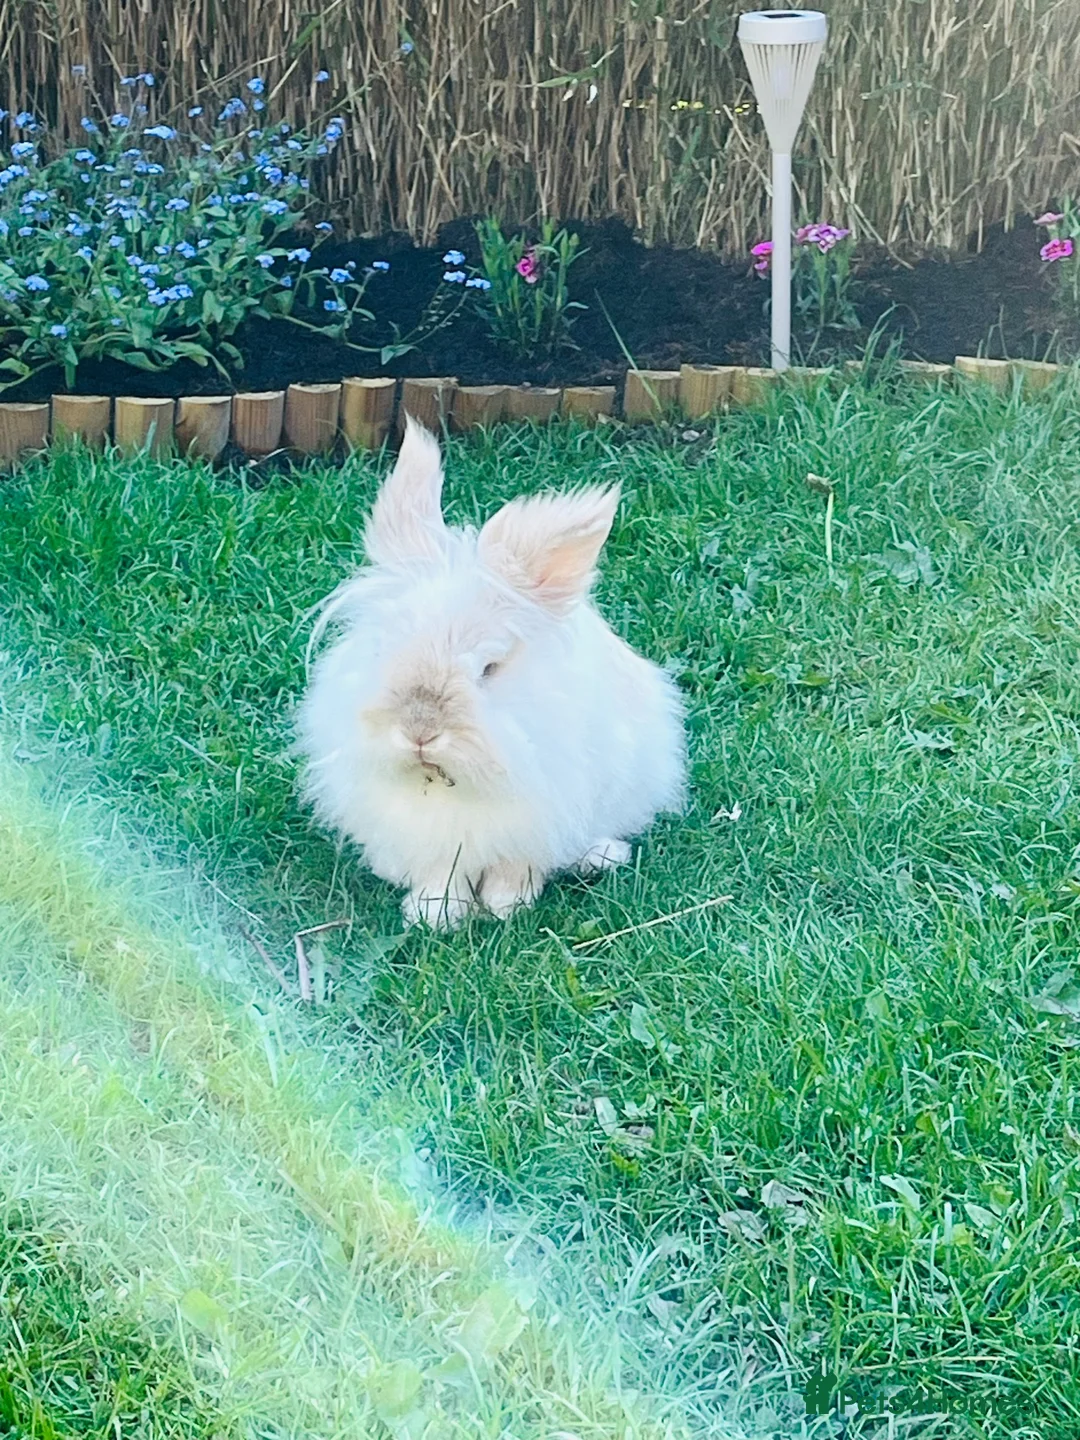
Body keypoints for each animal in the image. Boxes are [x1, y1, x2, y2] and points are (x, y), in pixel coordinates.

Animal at [297, 415, 686, 928]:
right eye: (383, 648)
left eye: (489, 668)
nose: (420, 731)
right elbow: (441, 871)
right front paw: (434, 915)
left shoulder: (538, 816)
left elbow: (514, 865)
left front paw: (506, 907)